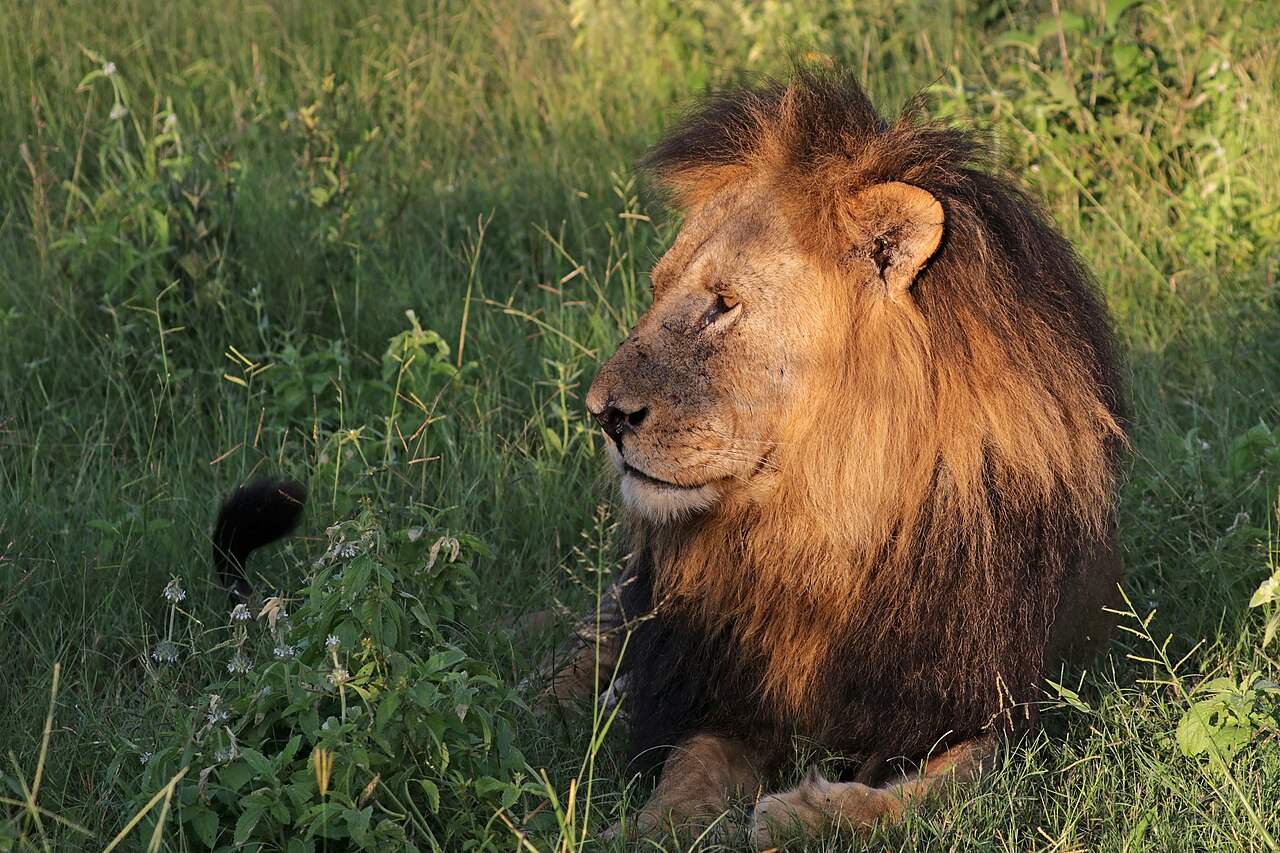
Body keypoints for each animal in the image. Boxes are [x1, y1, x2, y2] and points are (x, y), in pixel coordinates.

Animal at [538, 66, 1125, 845]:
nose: (602, 414)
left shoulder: (985, 704)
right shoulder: (726, 684)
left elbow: (941, 789)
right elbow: (689, 766)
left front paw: (804, 814)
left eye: (722, 303)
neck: (821, 525)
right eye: (659, 289)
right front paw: (643, 830)